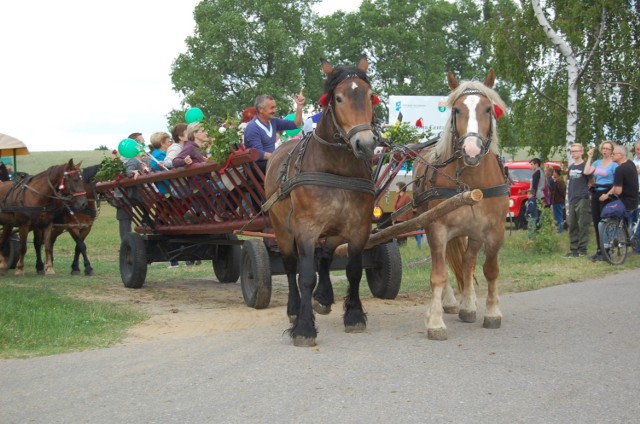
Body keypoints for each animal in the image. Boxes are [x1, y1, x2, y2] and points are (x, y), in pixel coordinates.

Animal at [264, 57, 380, 348]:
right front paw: (304, 327)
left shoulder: (359, 226)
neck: (337, 169)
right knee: (291, 265)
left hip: (335, 229)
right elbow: (305, 276)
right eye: (338, 98)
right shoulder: (306, 227)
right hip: (282, 229)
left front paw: (354, 315)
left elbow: (353, 270)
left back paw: (324, 297)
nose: (365, 144)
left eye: (369, 96)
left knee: (325, 256)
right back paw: (295, 308)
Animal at [416, 69, 510, 342]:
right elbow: (438, 275)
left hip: (473, 233)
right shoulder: (437, 228)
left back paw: (467, 305)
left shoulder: (495, 231)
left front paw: (492, 313)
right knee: (446, 264)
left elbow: (490, 270)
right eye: (456, 110)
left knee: (467, 264)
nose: (472, 150)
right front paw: (435, 321)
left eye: (488, 109)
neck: (471, 182)